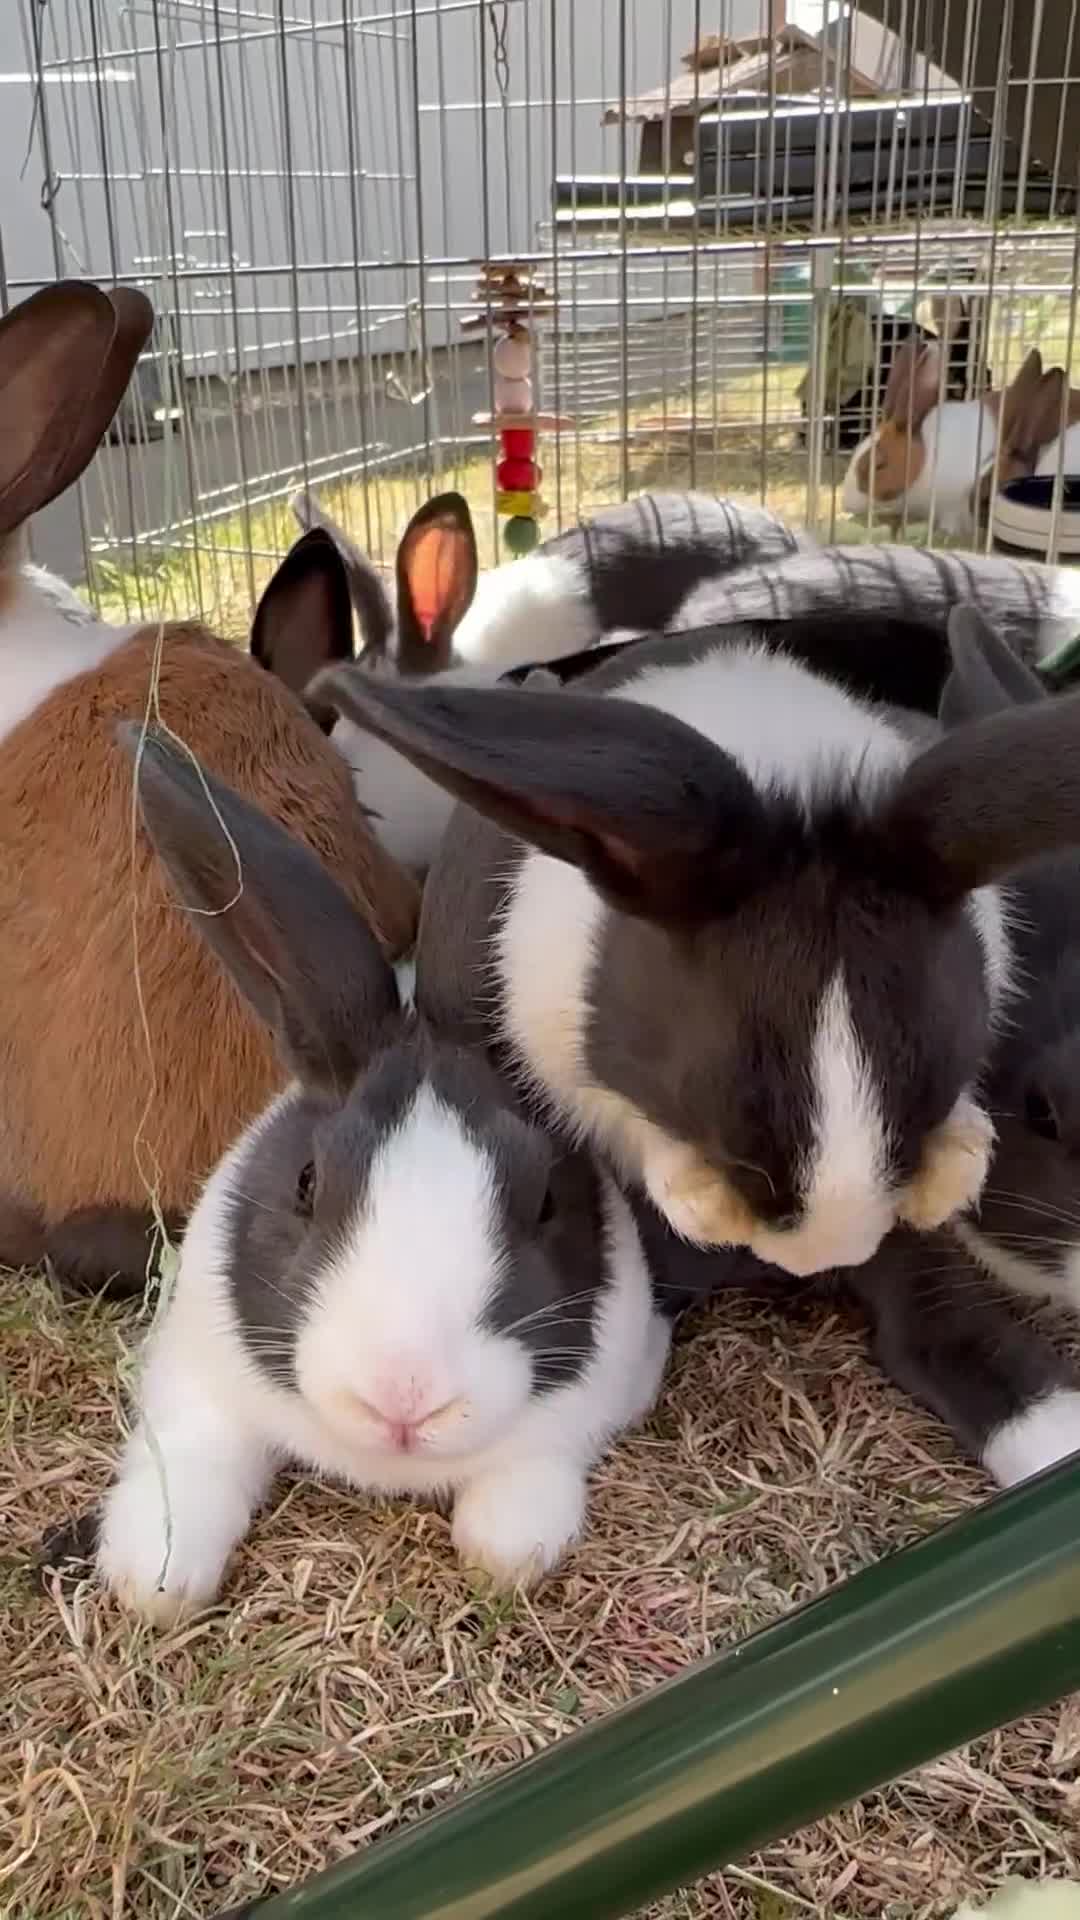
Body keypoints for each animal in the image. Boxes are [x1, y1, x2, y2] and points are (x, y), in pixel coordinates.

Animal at [93, 728, 675, 1623]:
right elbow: (194, 1457)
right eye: (306, 1182)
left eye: (545, 1200)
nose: (404, 1398)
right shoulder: (191, 1367)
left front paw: (503, 1553)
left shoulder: (619, 1374)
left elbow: (531, 1479)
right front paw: (154, 1580)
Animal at [310, 594, 1080, 1284]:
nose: (826, 1257)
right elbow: (626, 1120)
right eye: (729, 1139)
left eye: (926, 1098)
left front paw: (955, 1167)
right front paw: (705, 1204)